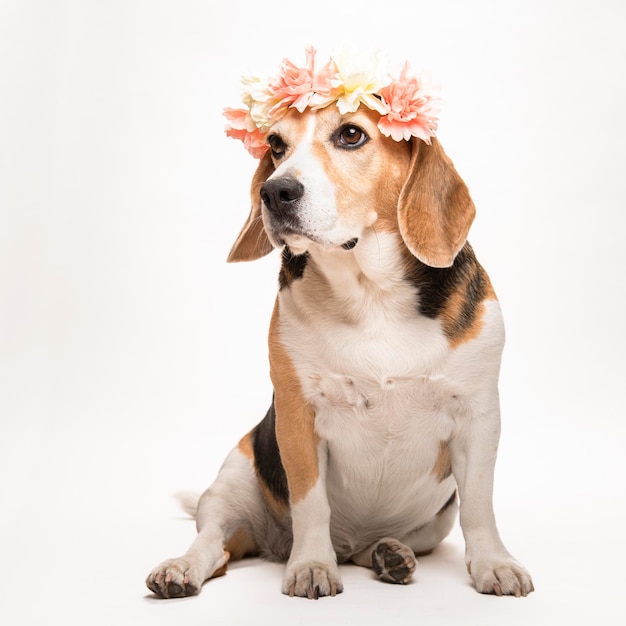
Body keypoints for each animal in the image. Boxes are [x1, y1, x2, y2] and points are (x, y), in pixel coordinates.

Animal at [145, 105, 532, 596]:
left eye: (351, 134)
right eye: (276, 145)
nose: (275, 191)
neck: (371, 295)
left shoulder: (479, 416)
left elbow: (480, 504)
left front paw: (494, 563)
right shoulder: (298, 414)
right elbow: (311, 503)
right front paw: (311, 565)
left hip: (432, 523)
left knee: (375, 547)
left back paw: (389, 555)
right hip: (232, 478)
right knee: (215, 544)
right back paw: (182, 569)